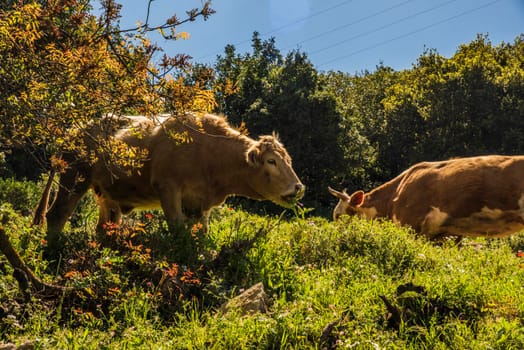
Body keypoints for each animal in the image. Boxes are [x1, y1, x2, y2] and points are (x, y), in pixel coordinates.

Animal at [47, 113, 308, 241]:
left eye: (289, 160)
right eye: (271, 161)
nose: (298, 187)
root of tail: (75, 130)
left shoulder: (199, 204)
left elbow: (199, 234)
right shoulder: (168, 189)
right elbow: (177, 228)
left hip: (105, 194)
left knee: (104, 226)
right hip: (74, 178)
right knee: (57, 214)